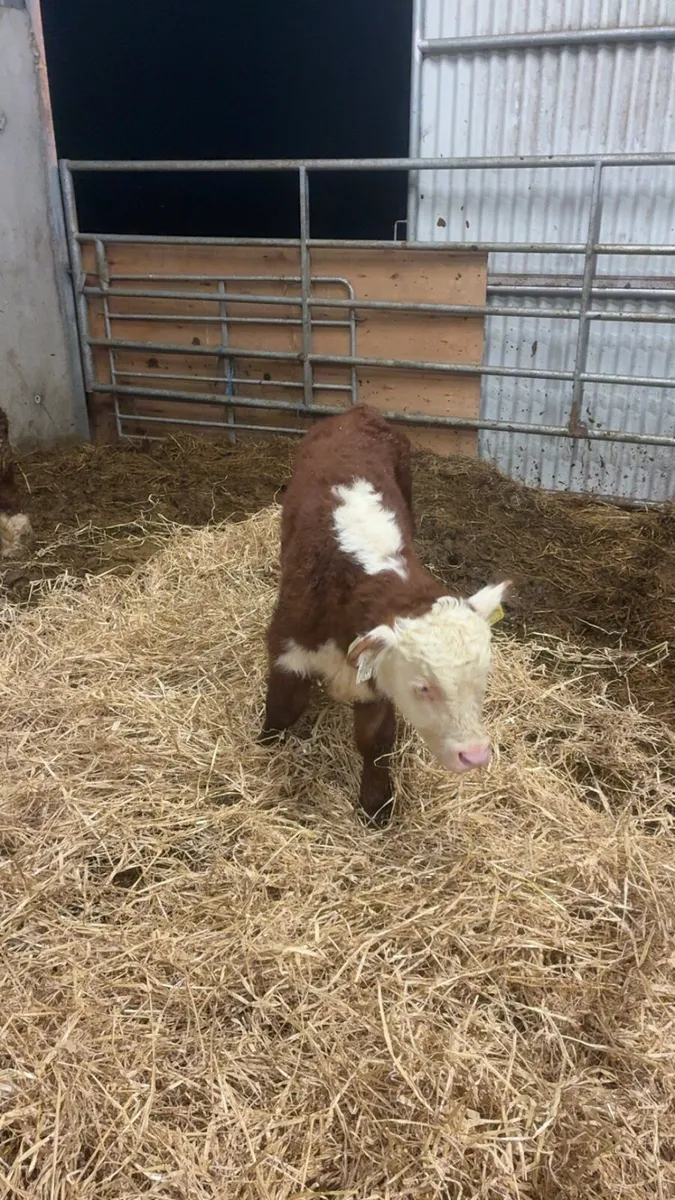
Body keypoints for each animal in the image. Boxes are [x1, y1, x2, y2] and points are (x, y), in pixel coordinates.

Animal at [261, 405, 509, 827]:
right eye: (423, 687)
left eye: (483, 677)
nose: (474, 755)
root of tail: (357, 412)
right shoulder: (287, 647)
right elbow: (282, 709)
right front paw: (263, 746)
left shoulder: (375, 682)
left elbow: (375, 741)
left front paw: (377, 804)